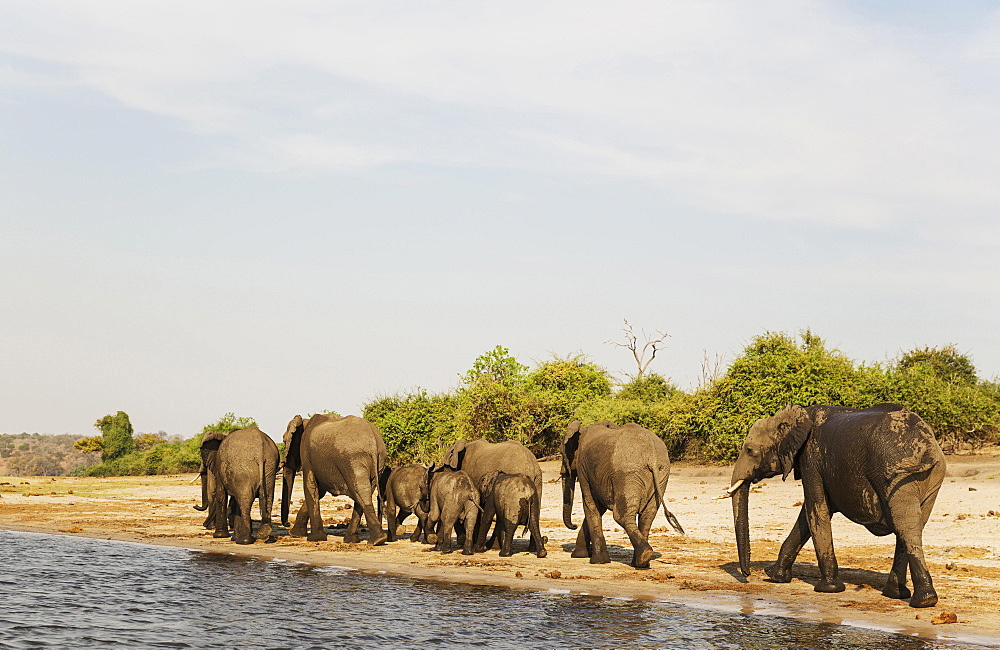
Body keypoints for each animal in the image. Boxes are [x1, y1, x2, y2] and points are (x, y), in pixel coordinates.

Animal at [286, 412, 390, 544]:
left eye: (284, 440)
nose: (287, 524)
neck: (306, 421)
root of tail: (373, 441)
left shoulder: (306, 455)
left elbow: (310, 487)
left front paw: (314, 539)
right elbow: (319, 491)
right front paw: (296, 534)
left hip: (353, 459)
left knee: (359, 491)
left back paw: (375, 541)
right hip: (377, 460)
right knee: (363, 493)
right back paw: (362, 540)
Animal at [560, 420, 684, 568]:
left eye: (562, 454)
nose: (574, 525)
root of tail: (652, 457)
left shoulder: (583, 468)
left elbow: (591, 506)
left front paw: (598, 561)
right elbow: (599, 508)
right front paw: (580, 555)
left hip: (627, 474)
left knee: (622, 516)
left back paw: (644, 556)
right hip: (661, 474)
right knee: (647, 516)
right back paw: (642, 562)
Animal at [720, 400, 944, 608]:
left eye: (750, 450)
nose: (748, 575)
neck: (796, 416)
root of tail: (927, 448)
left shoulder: (811, 458)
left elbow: (816, 510)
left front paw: (828, 589)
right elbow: (807, 517)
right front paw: (775, 576)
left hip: (896, 474)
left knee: (905, 526)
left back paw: (921, 601)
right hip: (928, 477)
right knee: (912, 526)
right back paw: (905, 596)